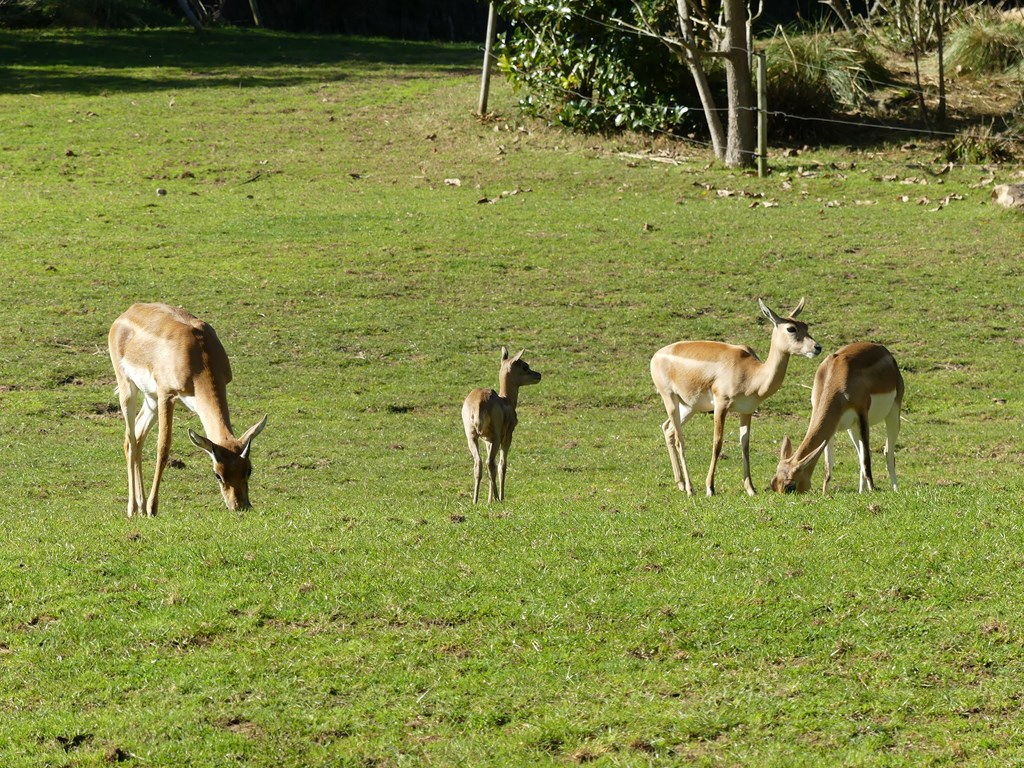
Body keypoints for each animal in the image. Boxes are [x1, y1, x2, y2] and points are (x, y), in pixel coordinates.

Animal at [108, 302, 268, 517]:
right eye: (217, 474)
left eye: (249, 469)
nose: (240, 506)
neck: (198, 355)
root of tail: (129, 311)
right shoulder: (167, 395)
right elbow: (163, 447)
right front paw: (152, 508)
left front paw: (148, 507)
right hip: (128, 389)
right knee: (130, 440)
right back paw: (133, 508)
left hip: (151, 399)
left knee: (138, 436)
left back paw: (140, 506)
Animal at [461, 347, 542, 504]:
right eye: (525, 366)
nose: (538, 375)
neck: (507, 400)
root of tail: (479, 402)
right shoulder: (507, 437)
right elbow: (502, 464)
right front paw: (499, 497)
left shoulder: (487, 440)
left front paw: (489, 499)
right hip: (497, 437)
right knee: (491, 463)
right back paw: (498, 498)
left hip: (472, 436)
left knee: (479, 463)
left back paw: (475, 500)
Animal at [650, 298, 821, 497]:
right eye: (791, 328)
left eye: (805, 325)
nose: (817, 347)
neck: (752, 374)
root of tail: (656, 355)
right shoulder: (721, 405)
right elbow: (717, 443)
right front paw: (710, 488)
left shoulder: (746, 410)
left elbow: (745, 445)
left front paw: (750, 489)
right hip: (669, 398)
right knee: (679, 439)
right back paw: (690, 489)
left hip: (689, 406)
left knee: (667, 429)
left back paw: (680, 484)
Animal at [770, 342, 904, 494]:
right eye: (773, 483)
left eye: (790, 486)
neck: (836, 377)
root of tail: (883, 349)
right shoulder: (832, 426)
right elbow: (828, 467)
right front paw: (825, 494)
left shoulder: (862, 415)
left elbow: (867, 461)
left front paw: (873, 491)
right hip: (852, 428)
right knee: (862, 454)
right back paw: (861, 492)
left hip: (893, 414)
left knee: (887, 452)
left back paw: (895, 489)